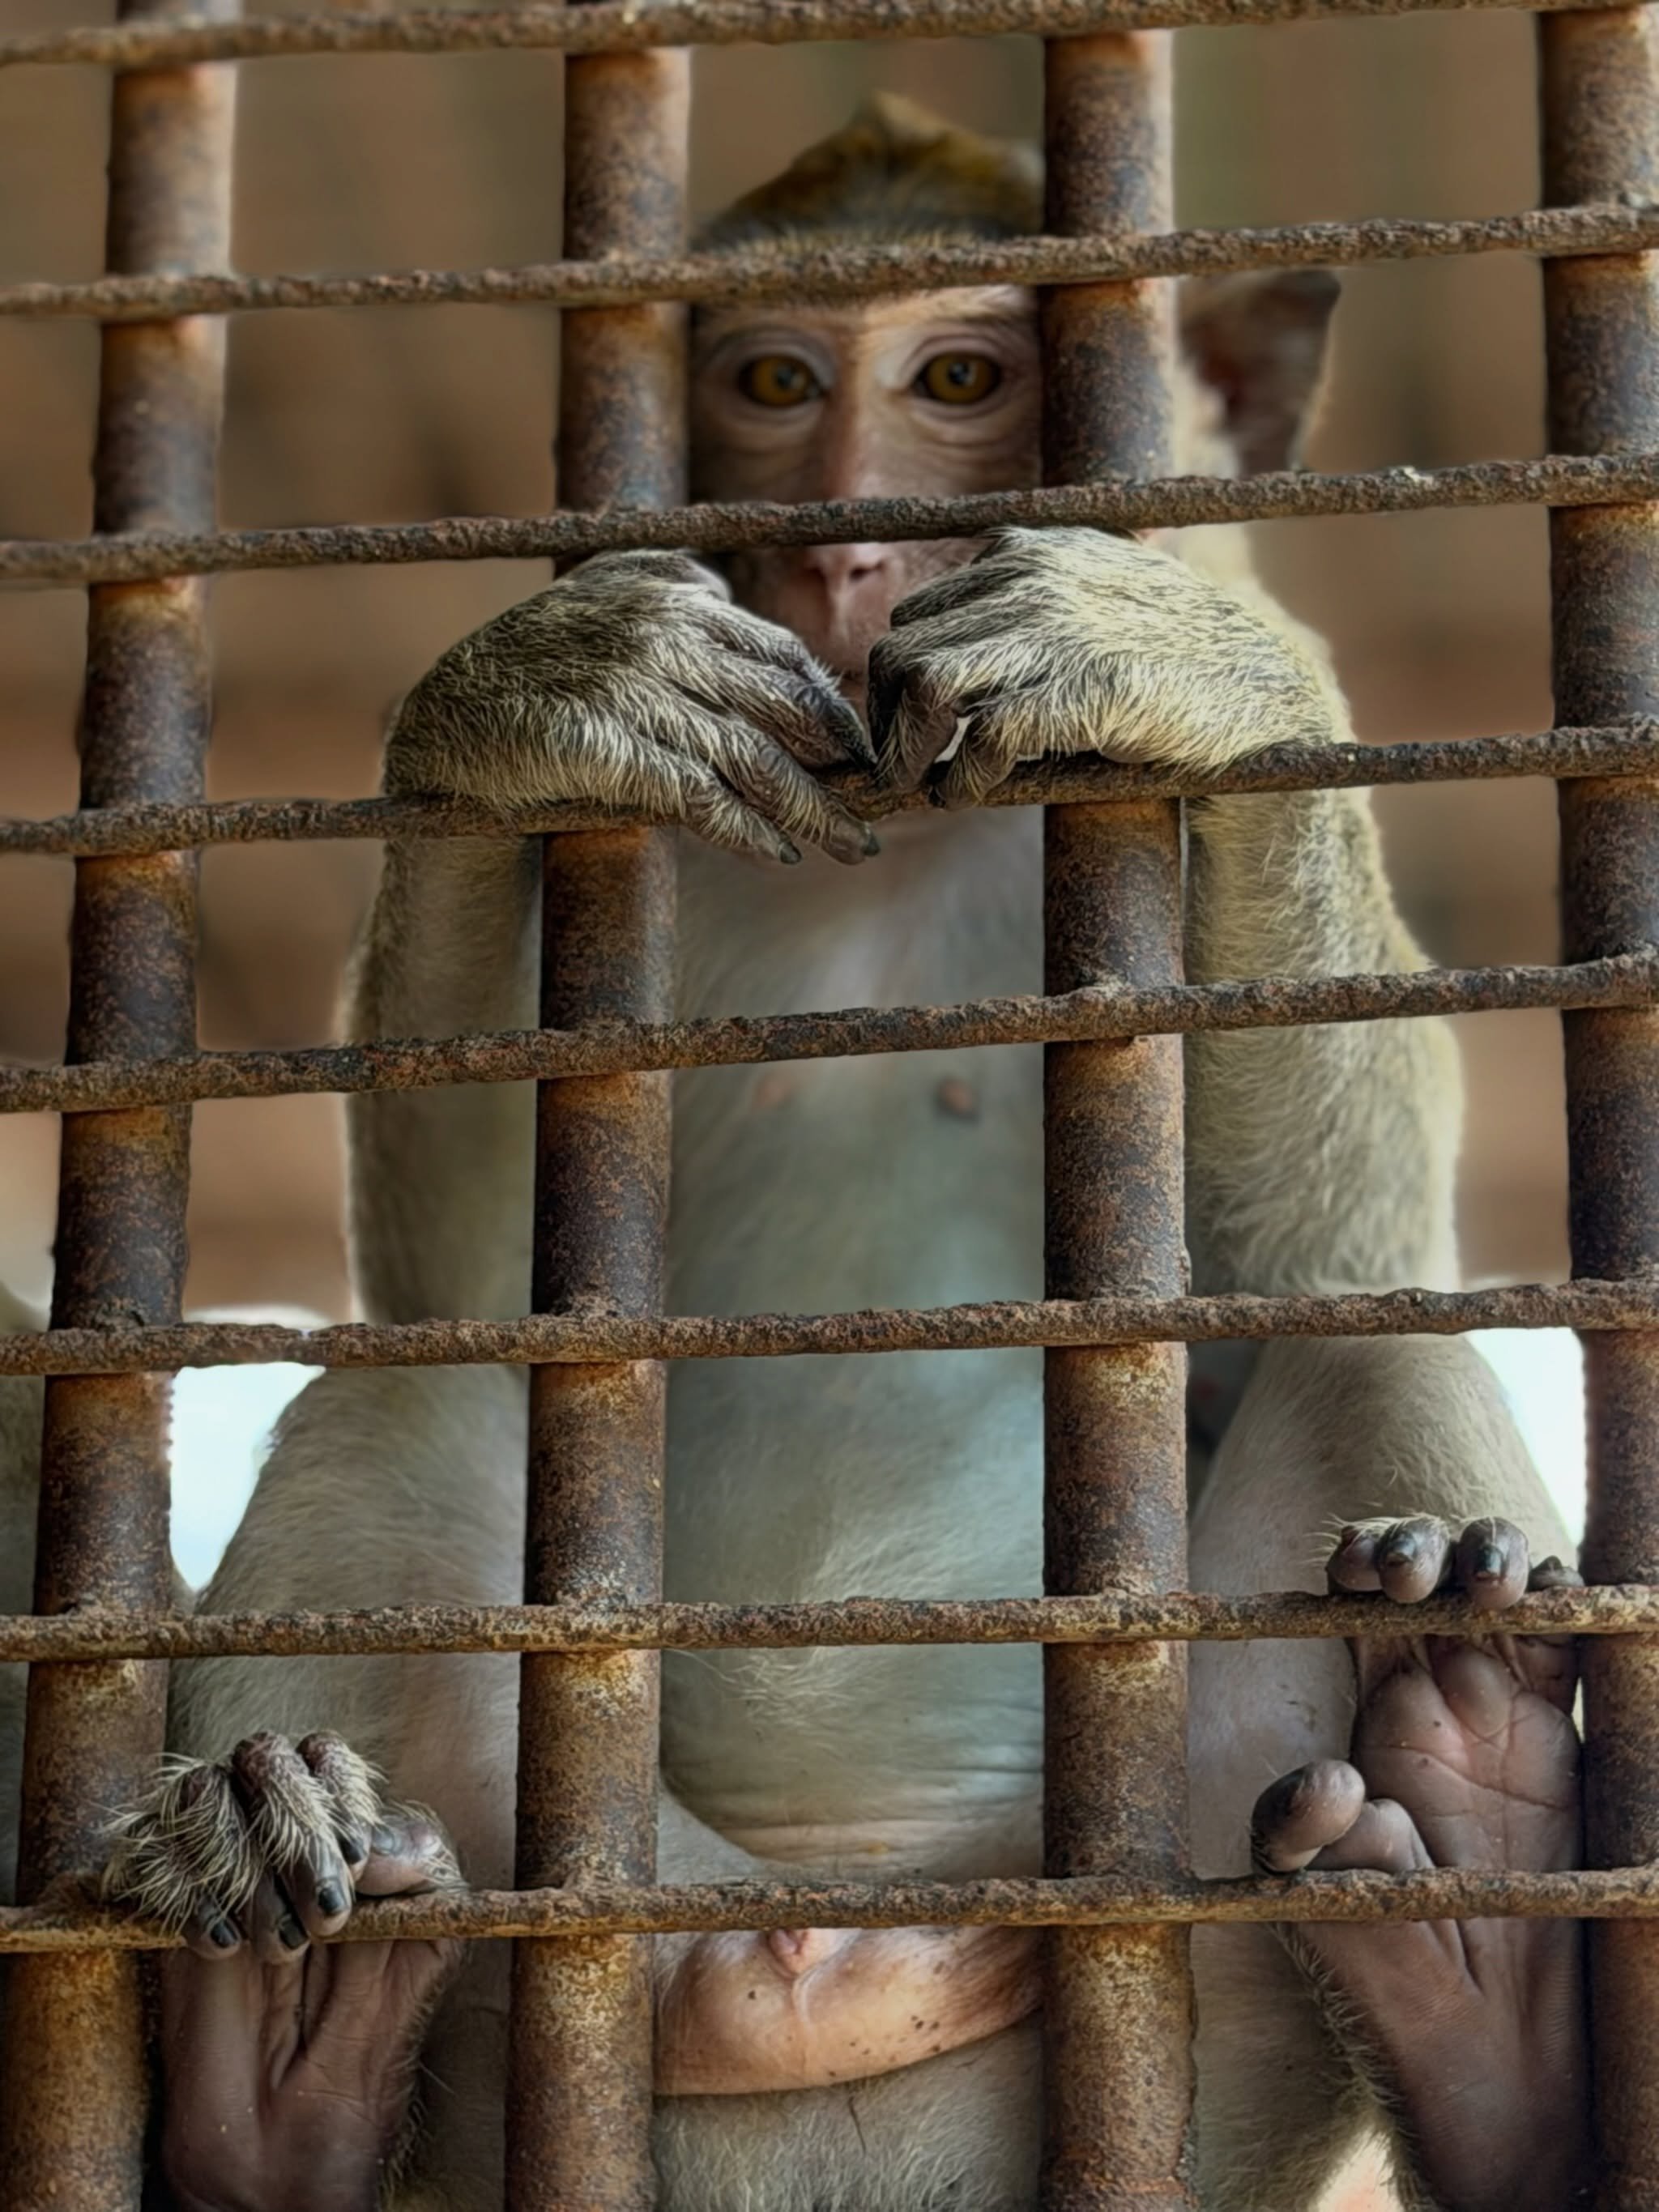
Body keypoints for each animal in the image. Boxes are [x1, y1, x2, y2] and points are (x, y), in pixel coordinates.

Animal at [0, 94, 1590, 2212]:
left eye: (958, 382)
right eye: (771, 386)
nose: (844, 534)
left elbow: (1323, 1249)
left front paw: (1186, 657)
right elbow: (472, 1279)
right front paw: (543, 696)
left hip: (1172, 1970)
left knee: (1366, 1335)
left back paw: (1488, 1923)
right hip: (584, 1976)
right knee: (406, 1401)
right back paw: (283, 2065)